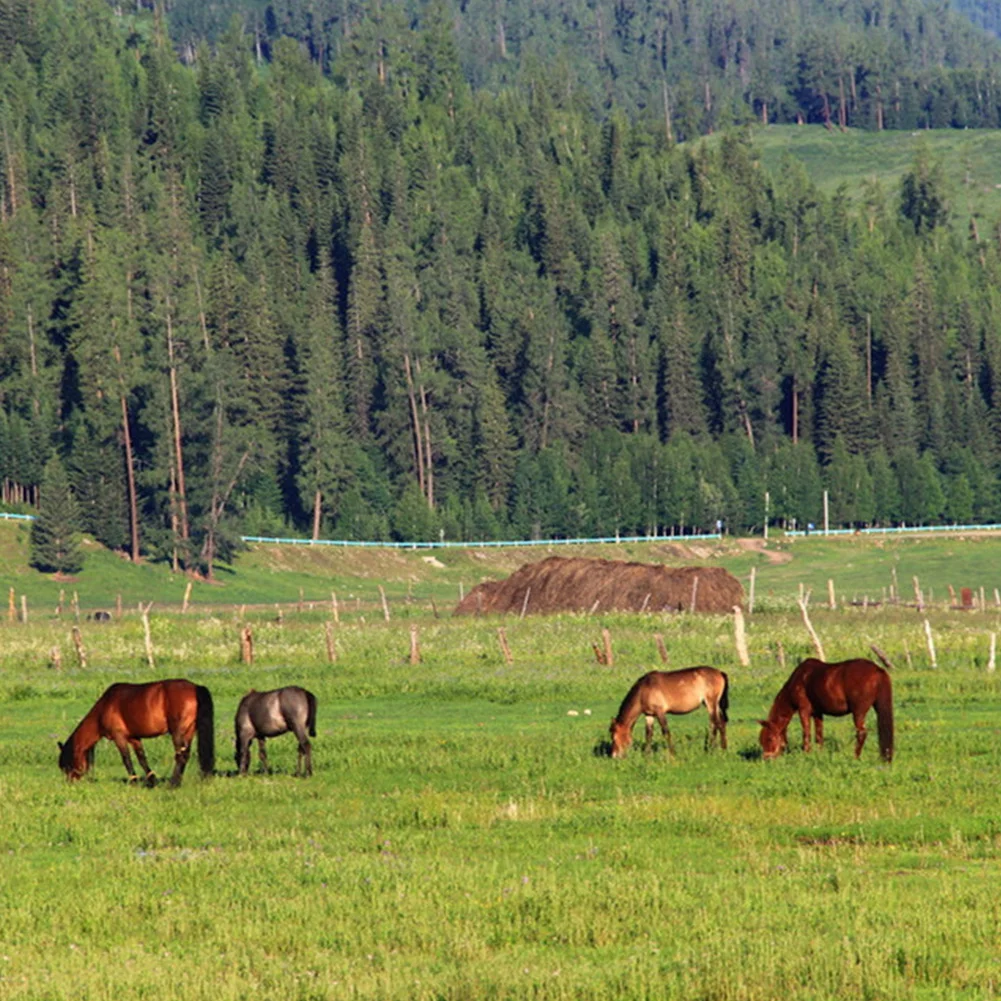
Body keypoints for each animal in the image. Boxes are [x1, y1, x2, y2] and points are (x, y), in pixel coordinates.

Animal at [57, 680, 214, 788]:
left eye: (67, 764)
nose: (70, 783)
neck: (105, 707)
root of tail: (195, 687)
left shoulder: (119, 737)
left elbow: (126, 759)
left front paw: (133, 781)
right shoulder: (134, 738)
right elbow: (141, 758)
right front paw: (152, 781)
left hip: (177, 733)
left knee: (180, 756)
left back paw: (173, 784)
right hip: (189, 732)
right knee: (185, 755)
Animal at [756, 660, 892, 760]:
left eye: (769, 738)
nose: (766, 759)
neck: (800, 678)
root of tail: (877, 670)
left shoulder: (803, 710)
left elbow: (806, 733)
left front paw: (806, 754)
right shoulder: (818, 713)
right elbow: (819, 734)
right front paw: (819, 754)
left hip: (858, 713)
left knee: (861, 733)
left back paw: (855, 757)